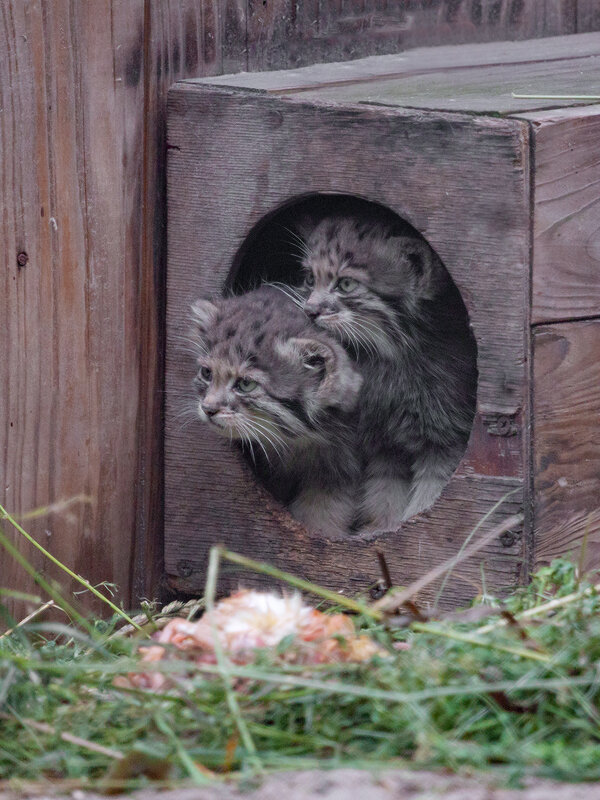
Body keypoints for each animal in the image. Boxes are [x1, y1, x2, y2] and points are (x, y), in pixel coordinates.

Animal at [298, 214, 476, 524]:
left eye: (346, 284)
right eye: (309, 279)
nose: (310, 311)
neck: (391, 356)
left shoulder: (447, 441)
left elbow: (428, 501)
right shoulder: (385, 447)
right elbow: (383, 501)